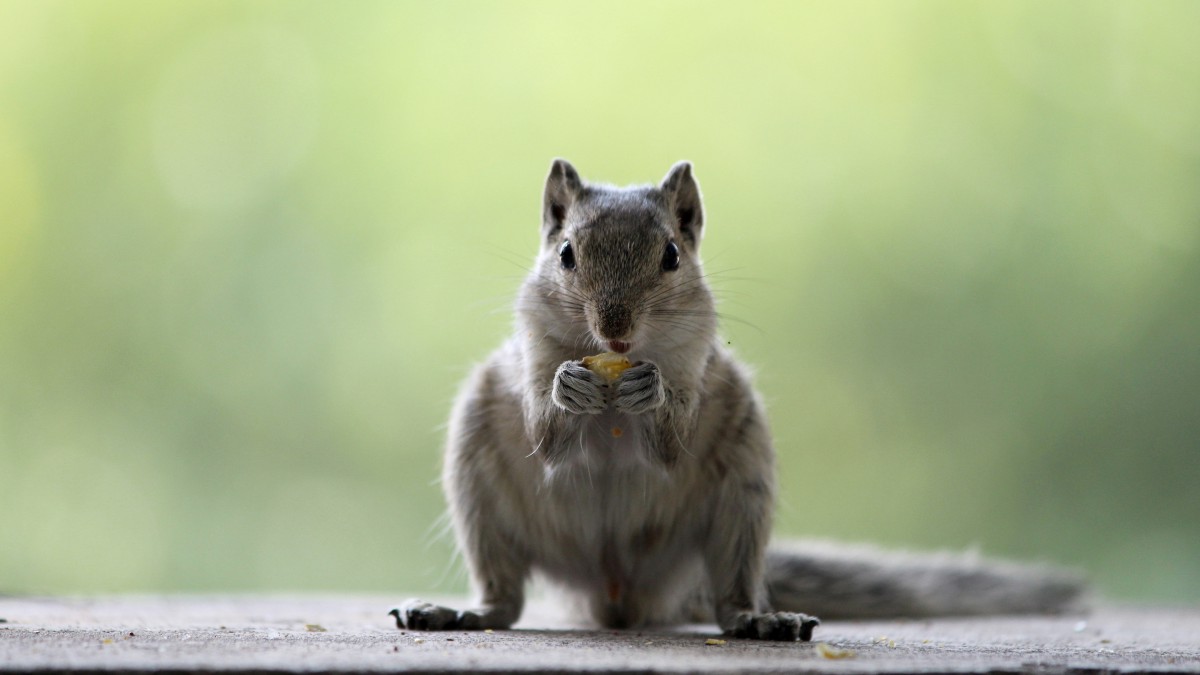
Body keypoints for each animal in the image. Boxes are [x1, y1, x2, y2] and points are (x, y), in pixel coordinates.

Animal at [388, 158, 1084, 638]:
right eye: (565, 254)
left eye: (672, 254)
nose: (615, 330)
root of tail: (619, 595)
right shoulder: (531, 349)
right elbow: (544, 434)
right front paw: (566, 388)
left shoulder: (697, 361)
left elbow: (671, 441)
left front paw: (653, 392)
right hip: (480, 488)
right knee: (504, 601)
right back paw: (460, 612)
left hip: (742, 498)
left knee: (729, 599)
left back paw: (759, 620)